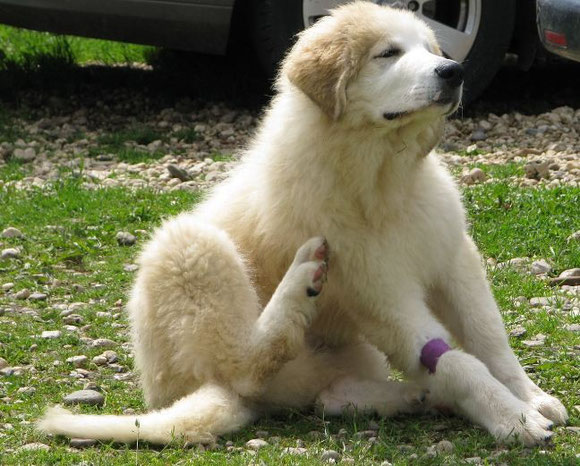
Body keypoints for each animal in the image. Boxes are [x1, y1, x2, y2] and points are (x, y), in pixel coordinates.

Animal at [39, 2, 568, 448]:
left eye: (431, 50)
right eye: (388, 53)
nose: (454, 71)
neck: (381, 176)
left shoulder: (452, 256)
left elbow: (487, 337)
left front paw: (530, 397)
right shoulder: (379, 294)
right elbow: (455, 359)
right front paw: (512, 416)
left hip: (346, 357)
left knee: (325, 398)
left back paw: (411, 397)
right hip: (190, 245)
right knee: (242, 364)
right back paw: (301, 280)